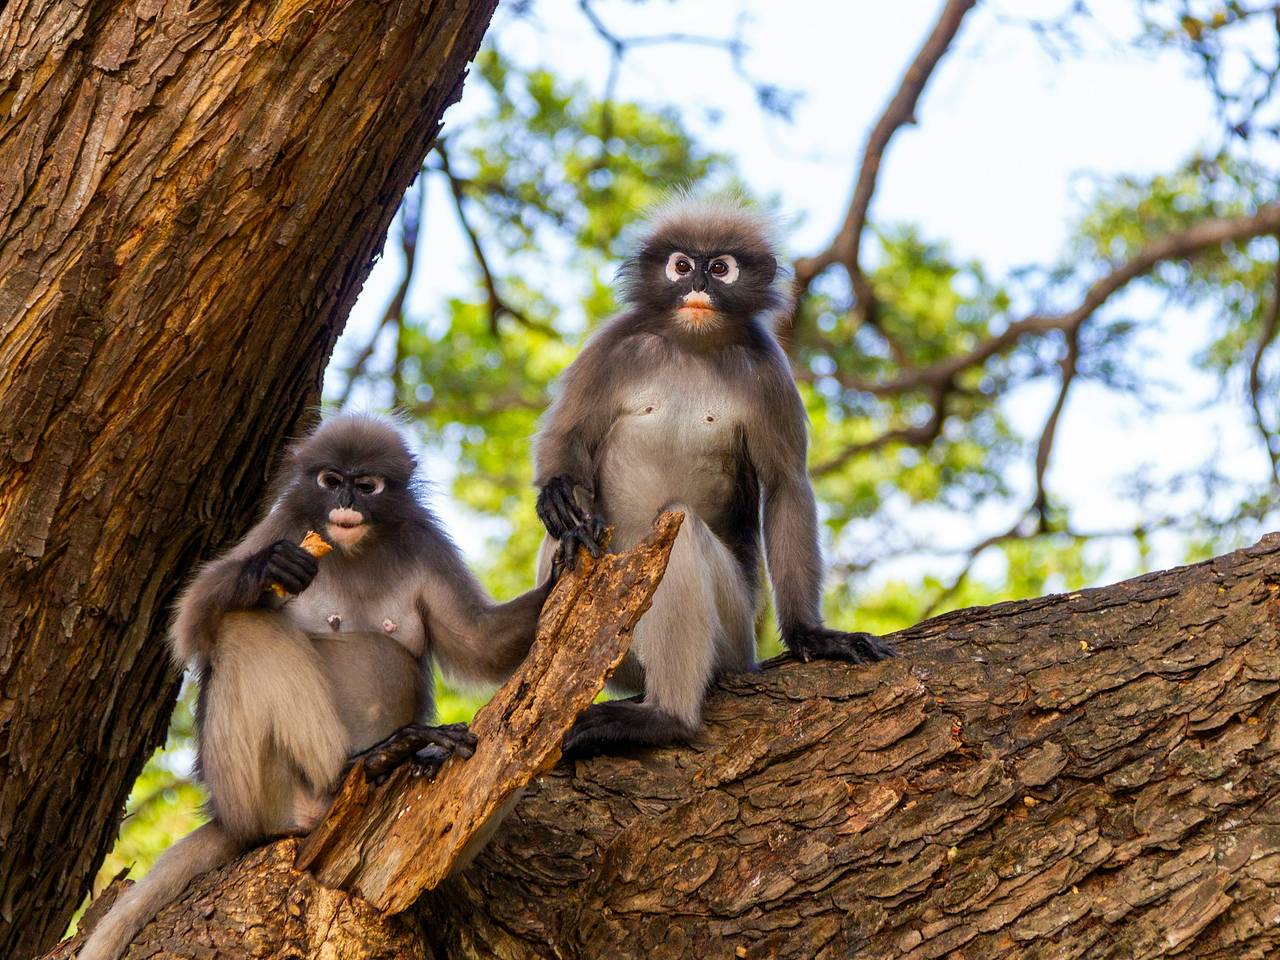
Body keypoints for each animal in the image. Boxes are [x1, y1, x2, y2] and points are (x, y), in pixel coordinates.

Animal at [80, 419, 550, 960]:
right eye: (331, 480)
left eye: (365, 485)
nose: (344, 500)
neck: (352, 549)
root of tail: (228, 815)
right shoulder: (284, 527)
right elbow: (190, 626)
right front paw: (266, 569)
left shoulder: (425, 544)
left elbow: (478, 642)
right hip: (254, 793)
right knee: (242, 625)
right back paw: (366, 762)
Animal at [535, 195, 896, 757]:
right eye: (682, 266)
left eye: (720, 268)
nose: (698, 286)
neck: (692, 343)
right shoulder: (612, 346)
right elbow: (563, 439)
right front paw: (557, 496)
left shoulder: (769, 371)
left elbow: (787, 486)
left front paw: (811, 635)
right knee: (568, 532)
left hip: (728, 635)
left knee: (680, 530)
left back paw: (665, 719)